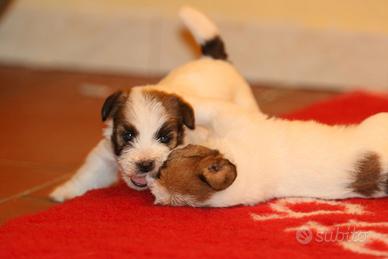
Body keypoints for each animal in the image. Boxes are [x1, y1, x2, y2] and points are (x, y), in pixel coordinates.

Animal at [49, 6, 260, 203]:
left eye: (165, 138)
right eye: (128, 135)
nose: (145, 164)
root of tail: (214, 60)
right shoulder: (106, 153)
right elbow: (90, 172)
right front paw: (66, 192)